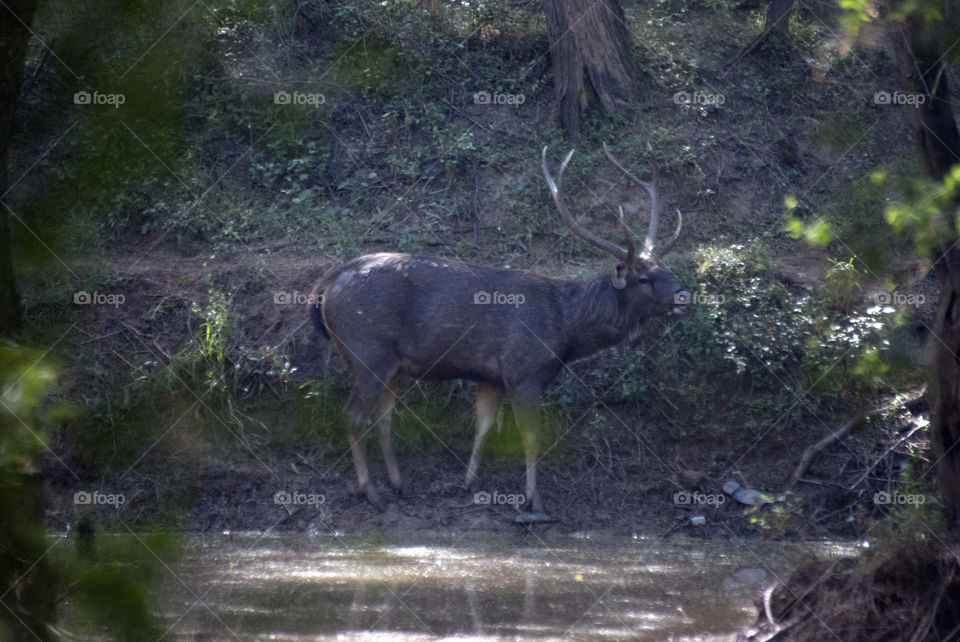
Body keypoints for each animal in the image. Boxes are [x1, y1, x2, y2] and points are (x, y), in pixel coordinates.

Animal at [308, 145, 687, 522]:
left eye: (665, 270)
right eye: (643, 279)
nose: (682, 294)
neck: (566, 329)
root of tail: (326, 286)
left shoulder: (490, 376)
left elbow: (484, 425)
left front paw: (469, 482)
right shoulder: (524, 370)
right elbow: (531, 437)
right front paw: (534, 502)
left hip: (392, 364)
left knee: (382, 416)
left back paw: (399, 484)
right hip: (366, 351)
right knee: (354, 415)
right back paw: (372, 494)